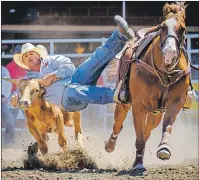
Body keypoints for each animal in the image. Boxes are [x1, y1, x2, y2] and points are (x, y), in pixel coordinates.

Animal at [105, 2, 190, 172]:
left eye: (183, 28)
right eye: (163, 26)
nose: (169, 53)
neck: (164, 73)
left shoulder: (175, 102)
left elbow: (167, 126)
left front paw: (164, 148)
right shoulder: (138, 105)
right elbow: (138, 136)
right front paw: (138, 163)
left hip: (155, 113)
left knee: (148, 130)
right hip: (123, 104)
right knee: (118, 124)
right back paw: (110, 145)